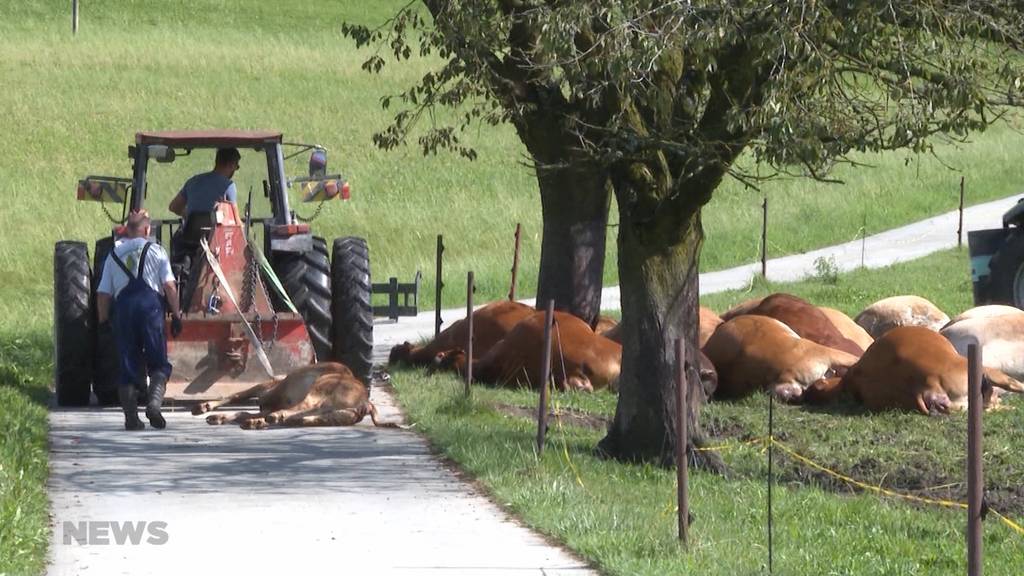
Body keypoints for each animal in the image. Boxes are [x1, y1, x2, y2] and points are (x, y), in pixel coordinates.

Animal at [192, 360, 399, 428]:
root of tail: (366, 403)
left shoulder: (267, 388)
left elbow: (237, 396)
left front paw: (206, 406)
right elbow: (242, 410)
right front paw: (219, 416)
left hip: (318, 392)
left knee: (295, 411)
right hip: (333, 415)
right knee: (300, 418)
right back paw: (258, 422)